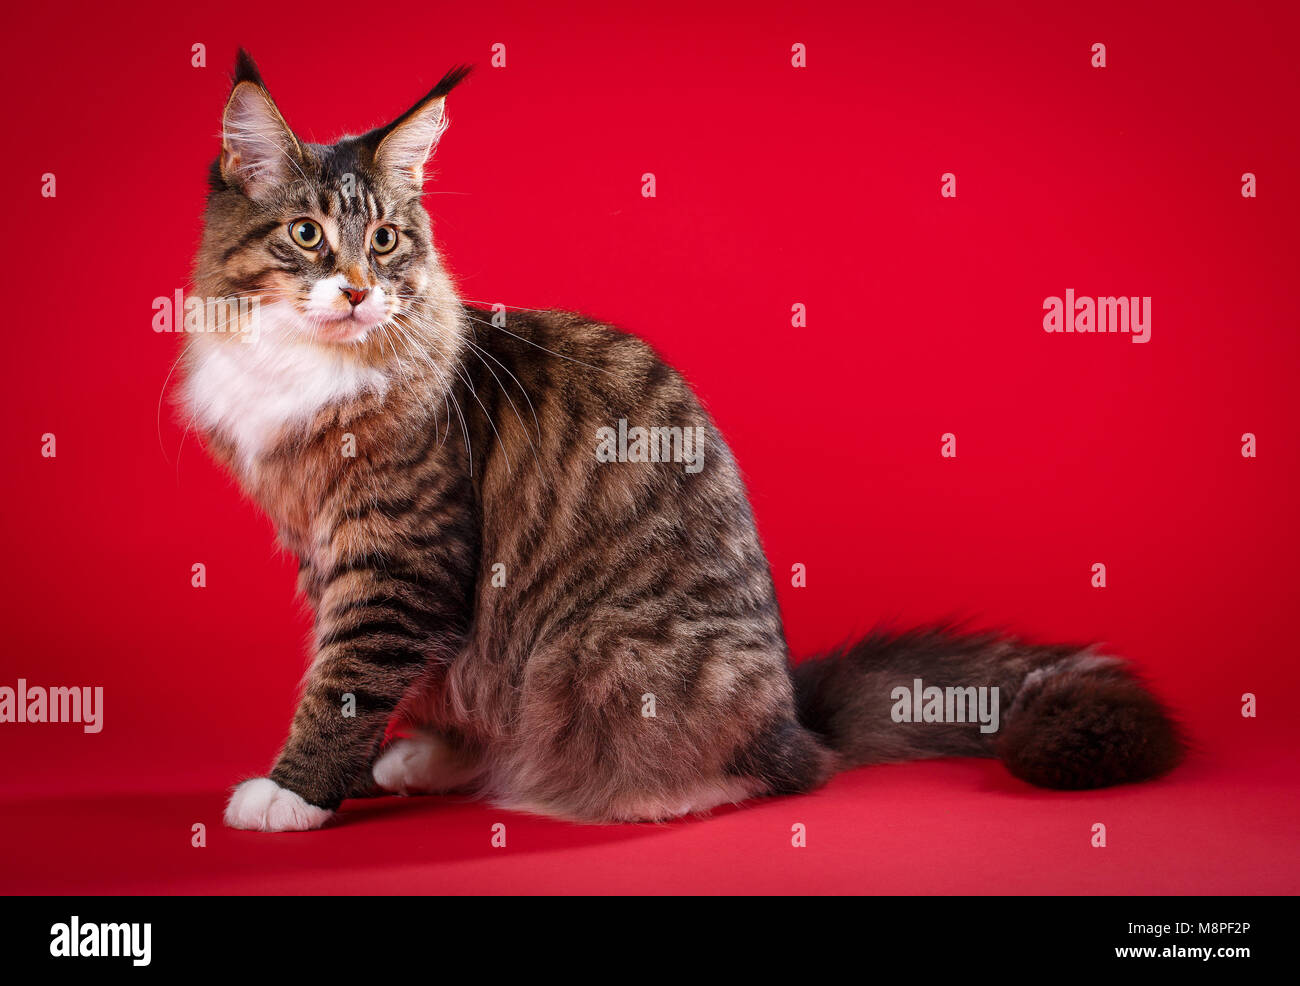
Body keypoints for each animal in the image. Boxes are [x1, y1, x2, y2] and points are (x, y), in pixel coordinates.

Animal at [183, 50, 1190, 832]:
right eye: (309, 234)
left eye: (387, 241)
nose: (358, 290)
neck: (310, 369)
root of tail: (795, 715)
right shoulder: (327, 552)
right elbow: (363, 668)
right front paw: (360, 772)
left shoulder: (400, 551)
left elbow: (347, 677)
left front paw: (292, 794)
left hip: (597, 651)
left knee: (770, 774)